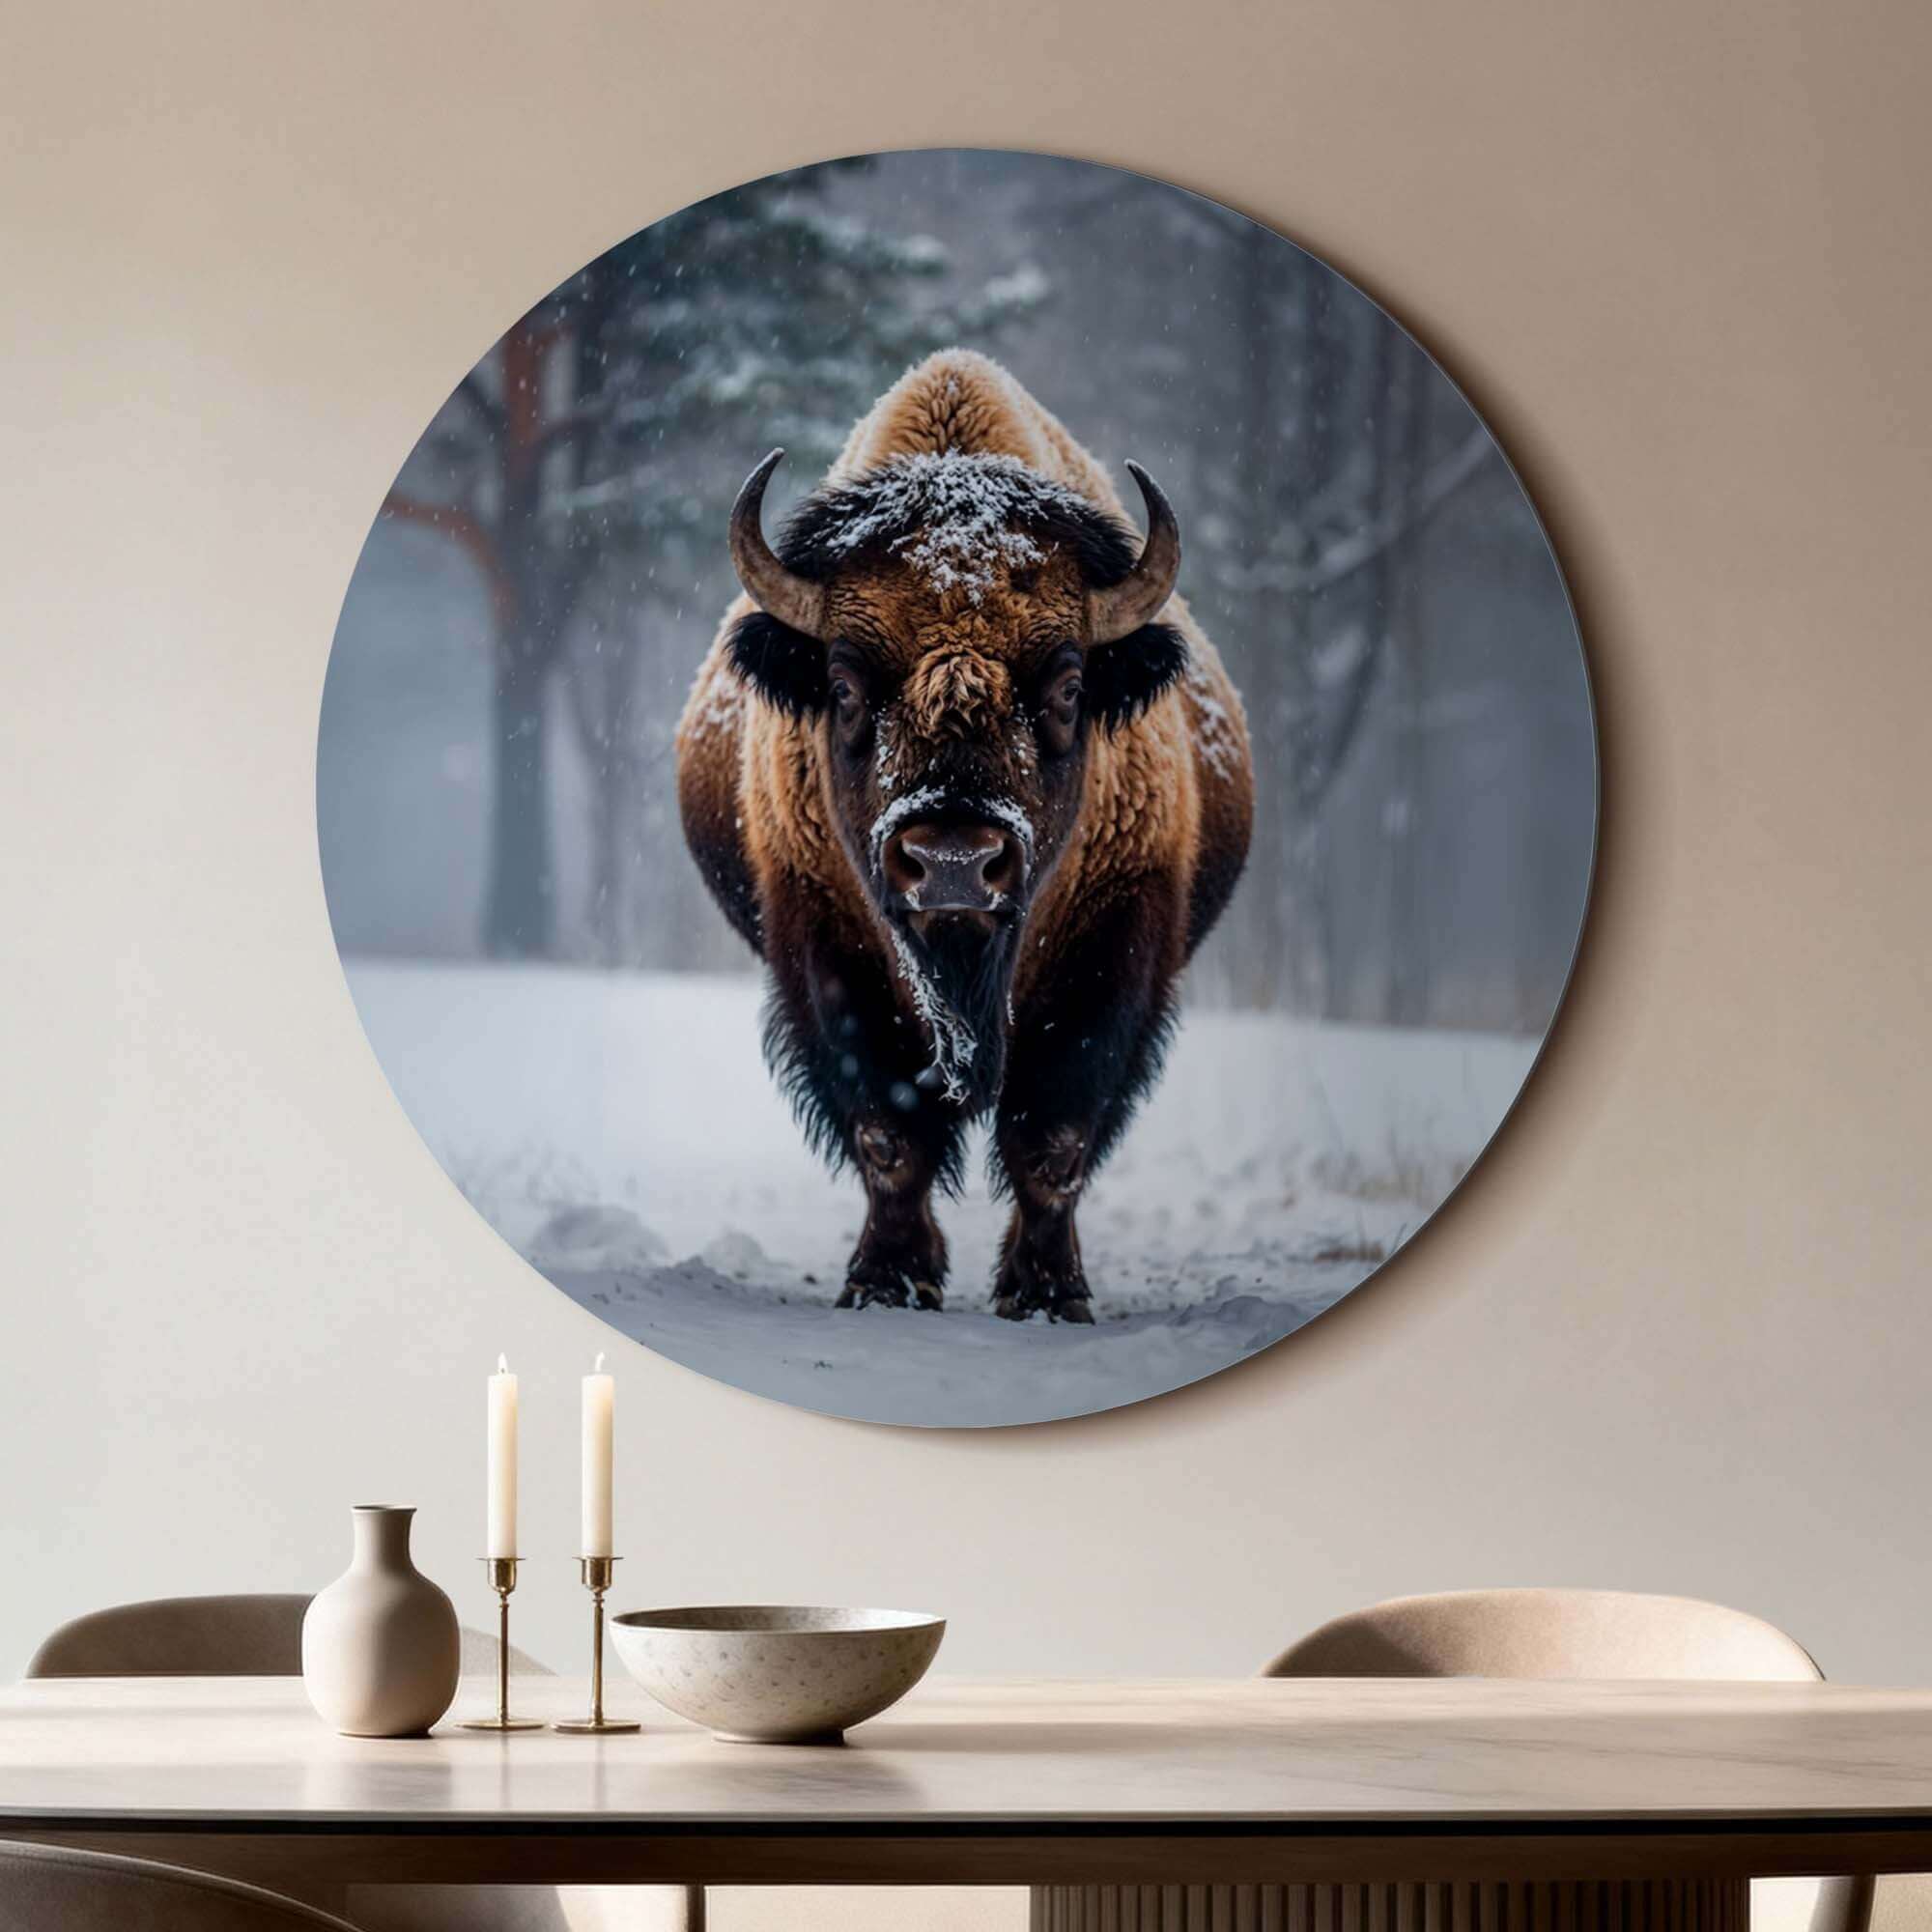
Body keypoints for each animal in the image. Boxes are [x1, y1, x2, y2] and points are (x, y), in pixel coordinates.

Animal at [676, 350, 1253, 1322]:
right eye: (842, 685)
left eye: (1068, 687)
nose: (953, 864)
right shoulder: (825, 945)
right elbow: (888, 1134)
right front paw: (887, 1281)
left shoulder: (1116, 949)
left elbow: (1055, 1138)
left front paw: (1048, 1295)